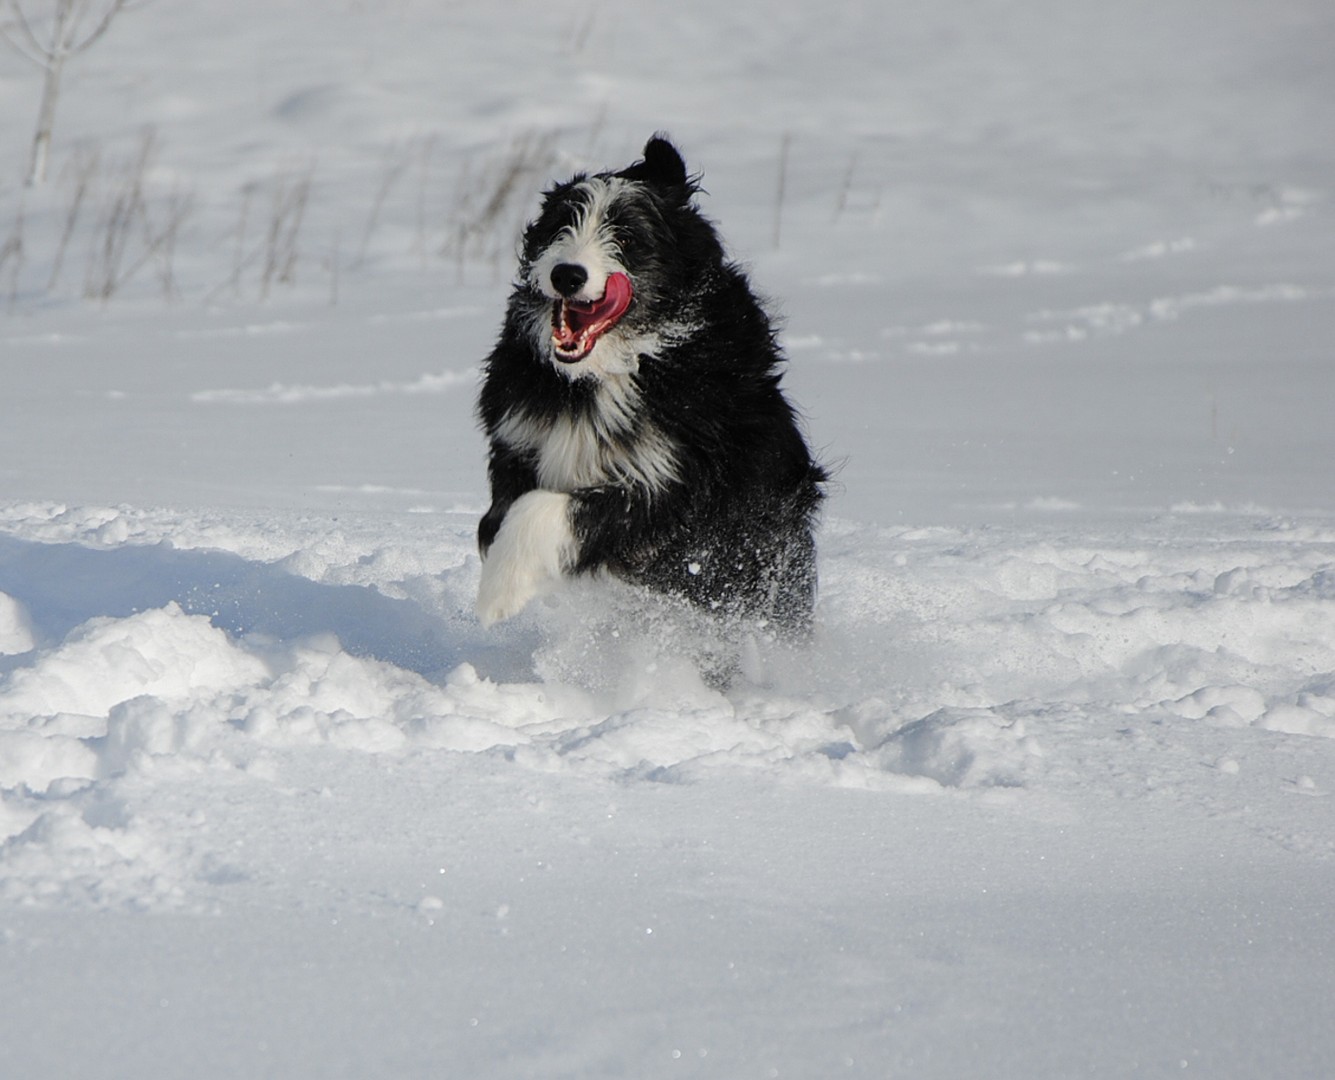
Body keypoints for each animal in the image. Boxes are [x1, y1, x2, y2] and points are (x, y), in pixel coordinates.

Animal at [475, 135, 826, 646]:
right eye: (560, 225)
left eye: (626, 237)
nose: (566, 274)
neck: (613, 369)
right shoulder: (518, 442)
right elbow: (501, 511)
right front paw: (496, 556)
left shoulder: (678, 490)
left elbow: (548, 509)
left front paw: (499, 590)